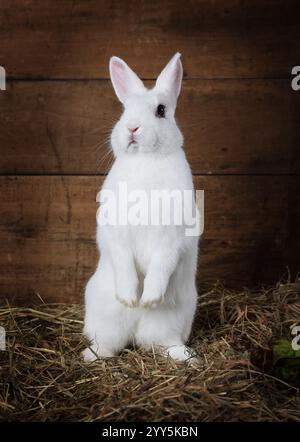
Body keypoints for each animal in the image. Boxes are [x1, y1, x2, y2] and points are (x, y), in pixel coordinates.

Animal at [82, 52, 200, 362]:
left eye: (160, 110)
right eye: (125, 111)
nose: (131, 127)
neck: (146, 160)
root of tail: (135, 334)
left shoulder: (173, 235)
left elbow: (161, 263)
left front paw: (148, 298)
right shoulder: (115, 231)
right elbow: (123, 260)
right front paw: (130, 297)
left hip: (175, 318)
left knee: (162, 342)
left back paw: (185, 356)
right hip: (102, 315)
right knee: (109, 343)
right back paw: (91, 354)